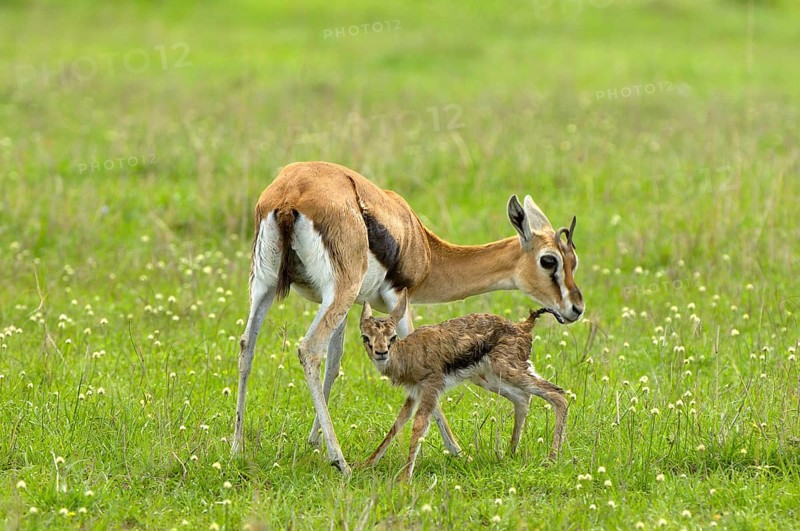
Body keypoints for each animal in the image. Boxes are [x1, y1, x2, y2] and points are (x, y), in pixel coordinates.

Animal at [359, 290, 568, 481]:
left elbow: (418, 427)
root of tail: (523, 326)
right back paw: (510, 453)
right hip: (490, 378)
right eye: (365, 337)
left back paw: (551, 459)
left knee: (557, 394)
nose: (381, 352)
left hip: (509, 372)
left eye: (392, 336)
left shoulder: (431, 388)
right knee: (523, 398)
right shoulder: (415, 393)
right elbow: (398, 424)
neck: (408, 354)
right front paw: (366, 464)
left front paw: (404, 480)